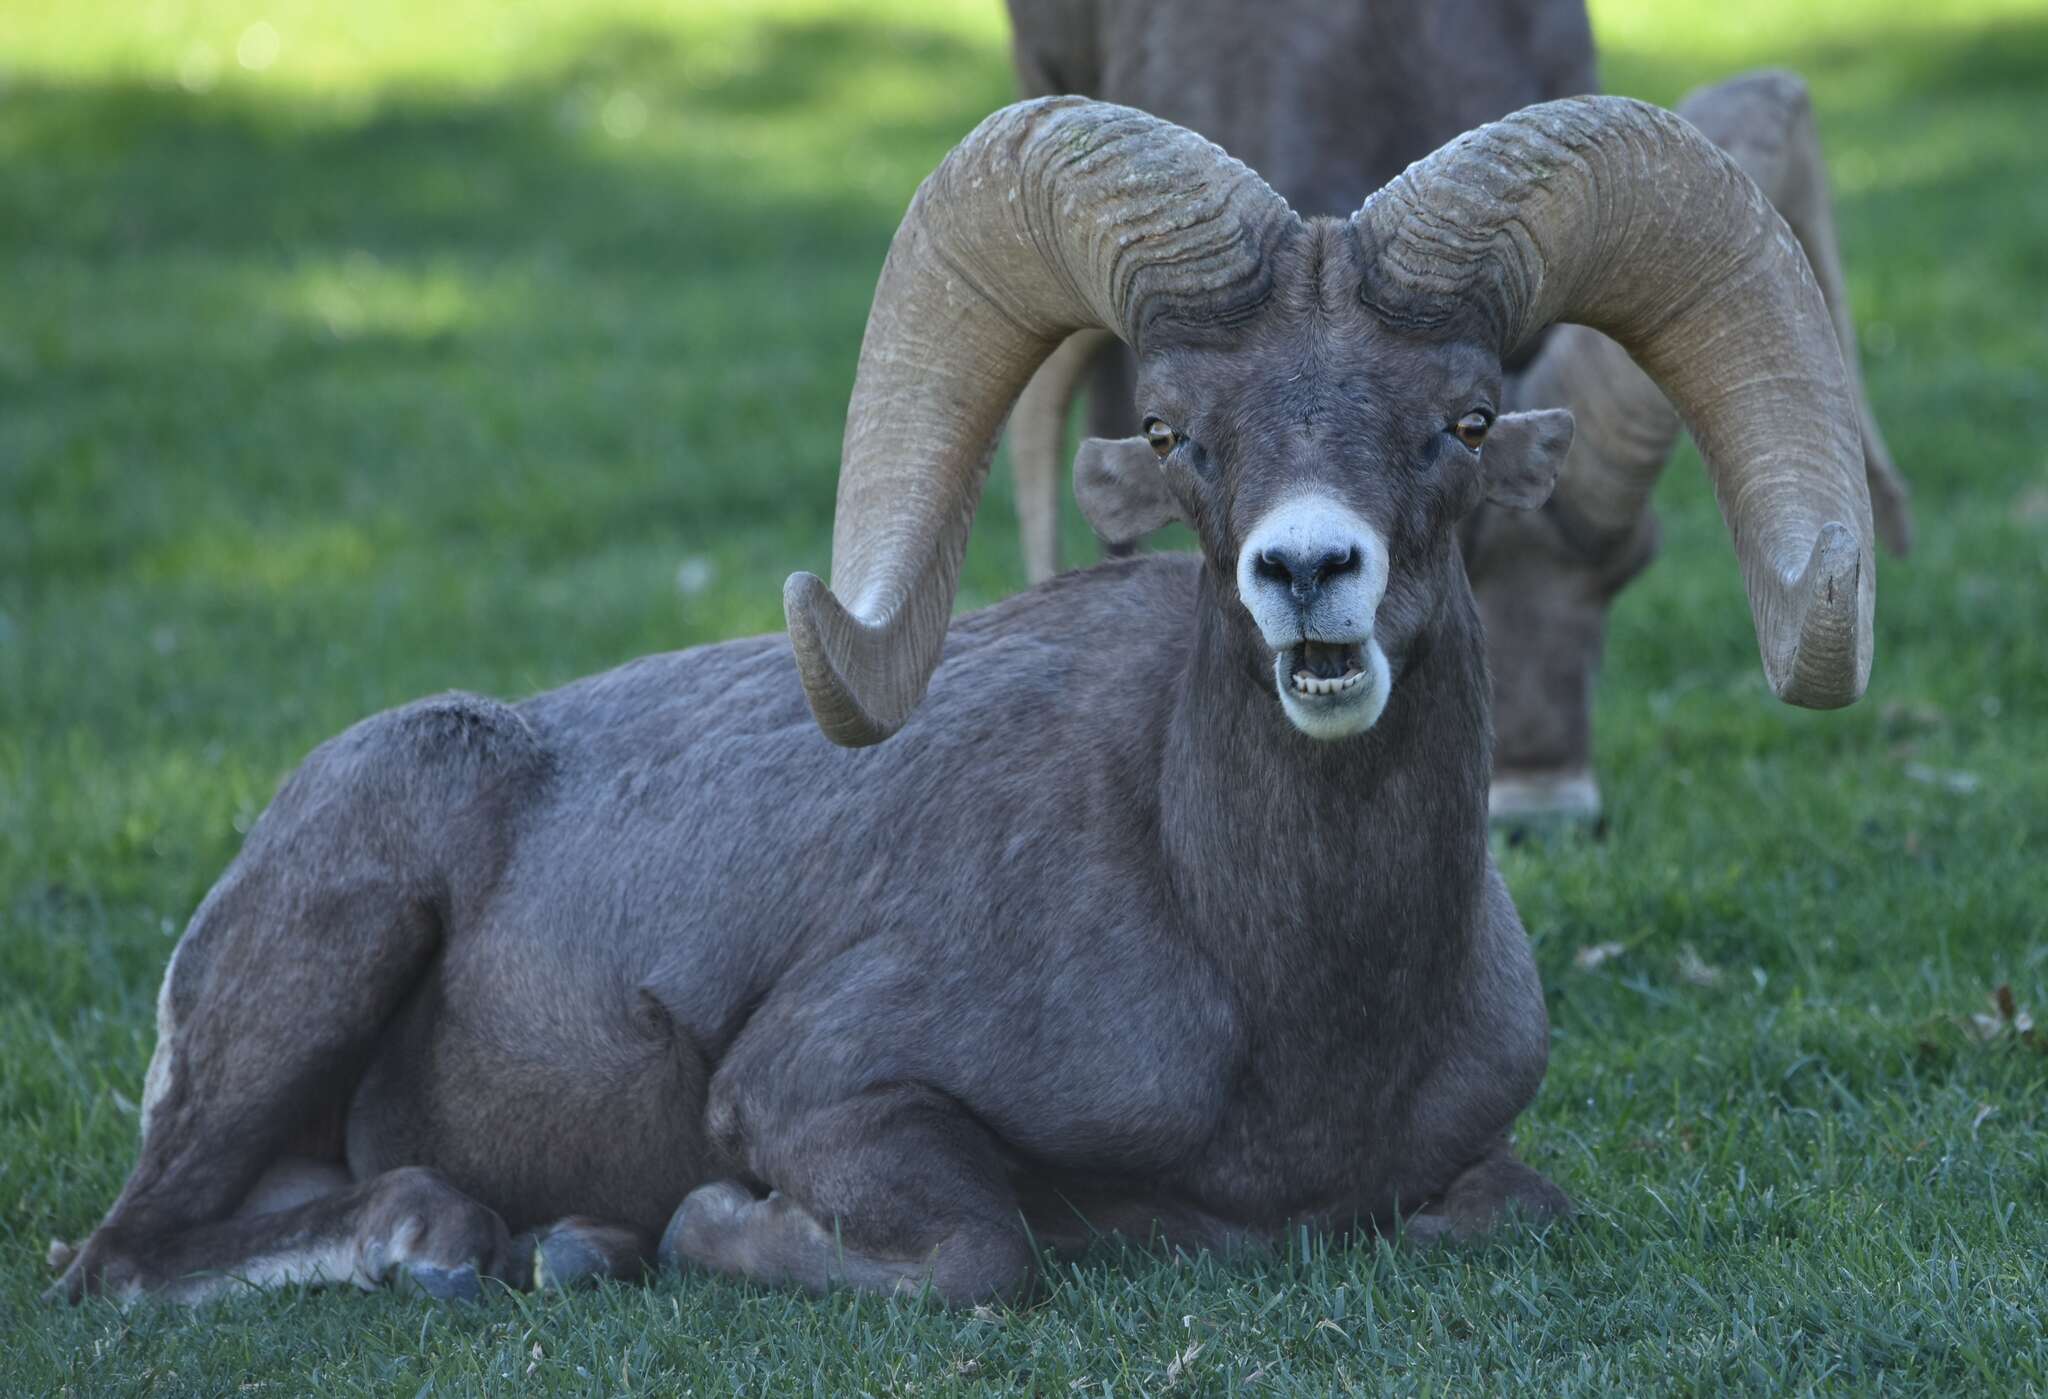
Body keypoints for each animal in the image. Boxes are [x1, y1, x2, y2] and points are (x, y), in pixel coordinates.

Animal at [51, 93, 1875, 1310]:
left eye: (1464, 421)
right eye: (1181, 433)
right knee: (122, 1258)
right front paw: (686, 1233)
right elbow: (987, 1252)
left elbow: (1519, 1205)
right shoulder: (823, 1094)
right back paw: (494, 1241)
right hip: (336, 935)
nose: (1307, 574)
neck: (1282, 994)